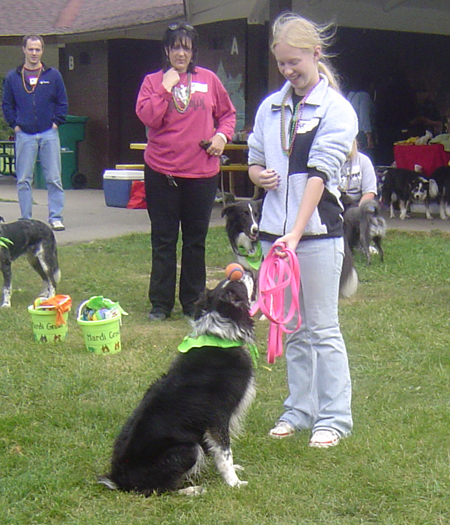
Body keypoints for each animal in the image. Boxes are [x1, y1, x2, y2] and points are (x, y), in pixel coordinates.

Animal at [98, 274, 256, 496]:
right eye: (240, 284)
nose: (248, 271)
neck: (219, 337)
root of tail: (118, 479)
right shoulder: (218, 416)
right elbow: (225, 452)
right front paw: (234, 482)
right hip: (186, 449)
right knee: (159, 490)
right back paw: (192, 490)